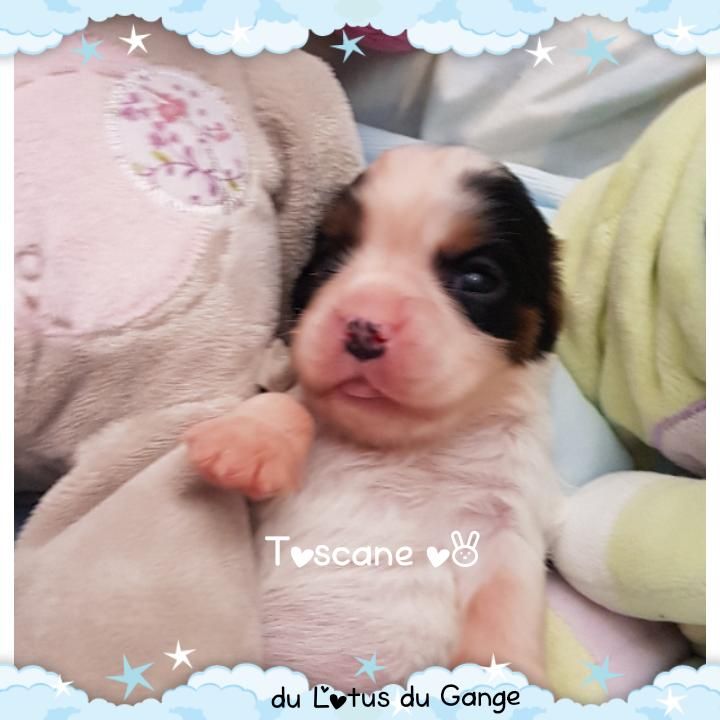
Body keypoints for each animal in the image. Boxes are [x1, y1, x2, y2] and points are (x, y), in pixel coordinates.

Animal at [184, 145, 564, 690]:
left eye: (477, 278)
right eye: (330, 262)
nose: (364, 328)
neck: (402, 447)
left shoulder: (508, 516)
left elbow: (505, 599)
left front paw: (504, 679)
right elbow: (288, 399)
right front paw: (243, 444)